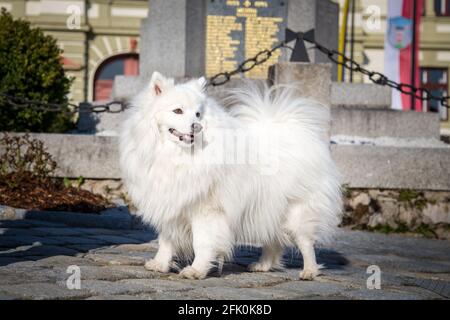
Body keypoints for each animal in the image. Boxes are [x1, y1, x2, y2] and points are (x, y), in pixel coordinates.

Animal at [118, 71, 342, 278]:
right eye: (178, 111)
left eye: (198, 114)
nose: (197, 126)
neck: (176, 155)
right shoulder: (170, 206)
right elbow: (166, 241)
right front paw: (160, 265)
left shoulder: (206, 210)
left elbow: (202, 243)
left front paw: (196, 270)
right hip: (268, 206)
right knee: (272, 239)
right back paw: (263, 265)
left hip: (296, 212)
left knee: (306, 243)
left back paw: (309, 271)